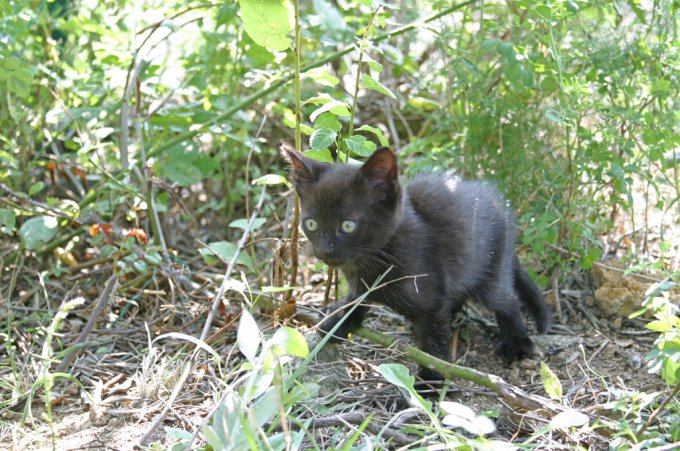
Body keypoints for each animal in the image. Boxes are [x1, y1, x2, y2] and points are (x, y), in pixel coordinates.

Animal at [282, 147, 552, 380]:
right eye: (311, 223)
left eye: (348, 225)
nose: (324, 251)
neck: (374, 260)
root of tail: (501, 204)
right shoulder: (362, 284)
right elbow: (358, 299)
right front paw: (338, 319)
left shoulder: (432, 303)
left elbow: (434, 346)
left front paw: (431, 384)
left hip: (491, 270)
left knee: (506, 301)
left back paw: (517, 342)